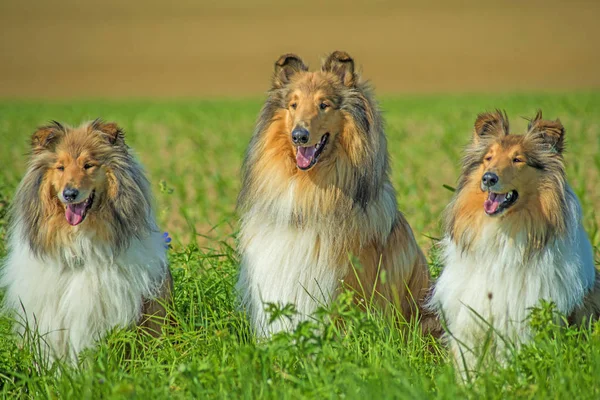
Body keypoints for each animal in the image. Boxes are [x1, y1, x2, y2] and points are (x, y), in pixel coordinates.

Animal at [432, 110, 600, 376]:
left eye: (518, 159)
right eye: (488, 158)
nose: (488, 178)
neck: (501, 232)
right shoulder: (469, 325)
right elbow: (468, 367)